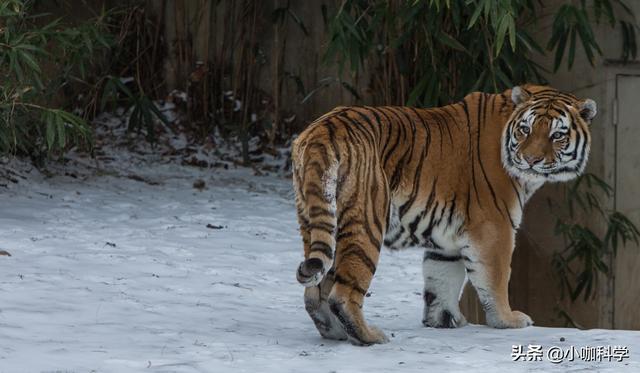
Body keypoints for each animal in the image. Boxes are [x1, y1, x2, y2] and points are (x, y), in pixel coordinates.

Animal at [292, 83, 596, 342]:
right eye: (525, 130)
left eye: (557, 135)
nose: (530, 159)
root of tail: (322, 130)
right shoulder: (494, 228)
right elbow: (495, 279)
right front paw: (508, 320)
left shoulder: (446, 239)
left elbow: (441, 279)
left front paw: (444, 320)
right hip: (367, 221)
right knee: (343, 293)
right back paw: (369, 336)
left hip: (315, 217)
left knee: (314, 290)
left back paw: (334, 332)